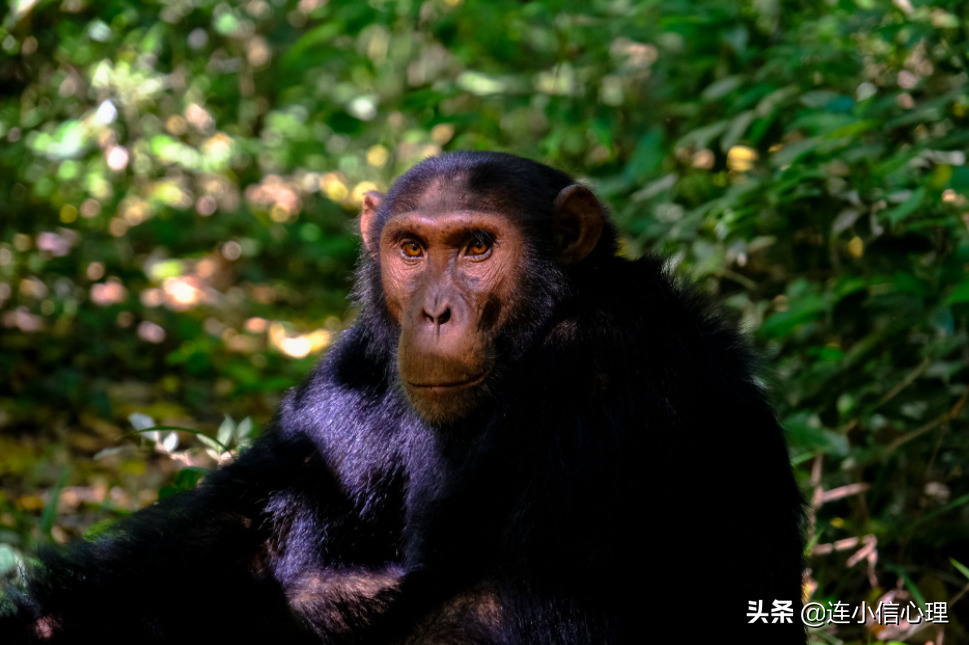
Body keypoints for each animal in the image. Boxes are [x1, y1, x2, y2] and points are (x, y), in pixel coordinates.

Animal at [0, 150, 800, 640]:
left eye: (477, 247)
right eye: (412, 249)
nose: (435, 312)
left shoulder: (602, 361)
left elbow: (465, 587)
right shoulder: (354, 366)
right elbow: (237, 531)